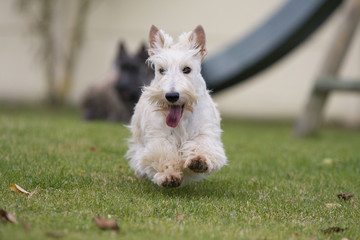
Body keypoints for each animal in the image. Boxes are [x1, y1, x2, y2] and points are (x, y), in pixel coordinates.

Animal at [126, 24, 226, 188]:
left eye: (187, 69)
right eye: (161, 70)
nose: (172, 96)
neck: (182, 119)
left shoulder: (205, 134)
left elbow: (202, 147)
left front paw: (198, 160)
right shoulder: (158, 138)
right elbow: (163, 155)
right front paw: (169, 175)